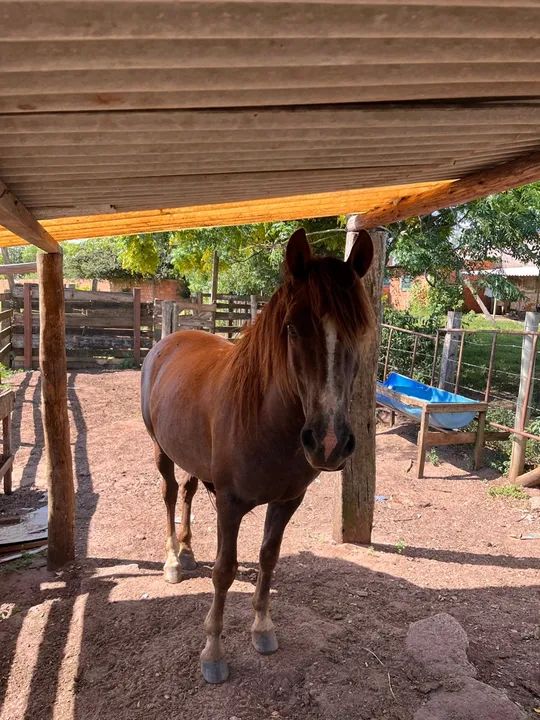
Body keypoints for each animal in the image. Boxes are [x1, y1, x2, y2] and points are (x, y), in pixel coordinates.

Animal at [141, 227, 374, 683]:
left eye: (360, 329)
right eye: (293, 328)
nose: (329, 442)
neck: (266, 421)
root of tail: (170, 339)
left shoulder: (287, 501)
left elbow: (268, 558)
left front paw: (263, 628)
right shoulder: (230, 504)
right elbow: (225, 570)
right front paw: (213, 652)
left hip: (194, 457)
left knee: (189, 492)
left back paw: (188, 550)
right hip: (161, 451)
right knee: (169, 494)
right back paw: (173, 560)